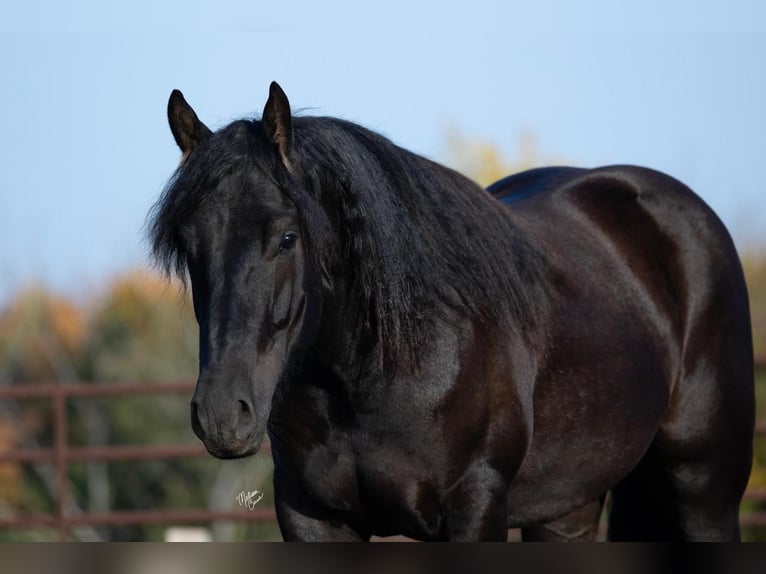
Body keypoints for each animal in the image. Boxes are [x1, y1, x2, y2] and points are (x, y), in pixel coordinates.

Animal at [150, 83, 756, 544]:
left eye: (286, 237)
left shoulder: (475, 506)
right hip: (567, 505)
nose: (222, 415)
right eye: (188, 243)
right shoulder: (311, 517)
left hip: (703, 489)